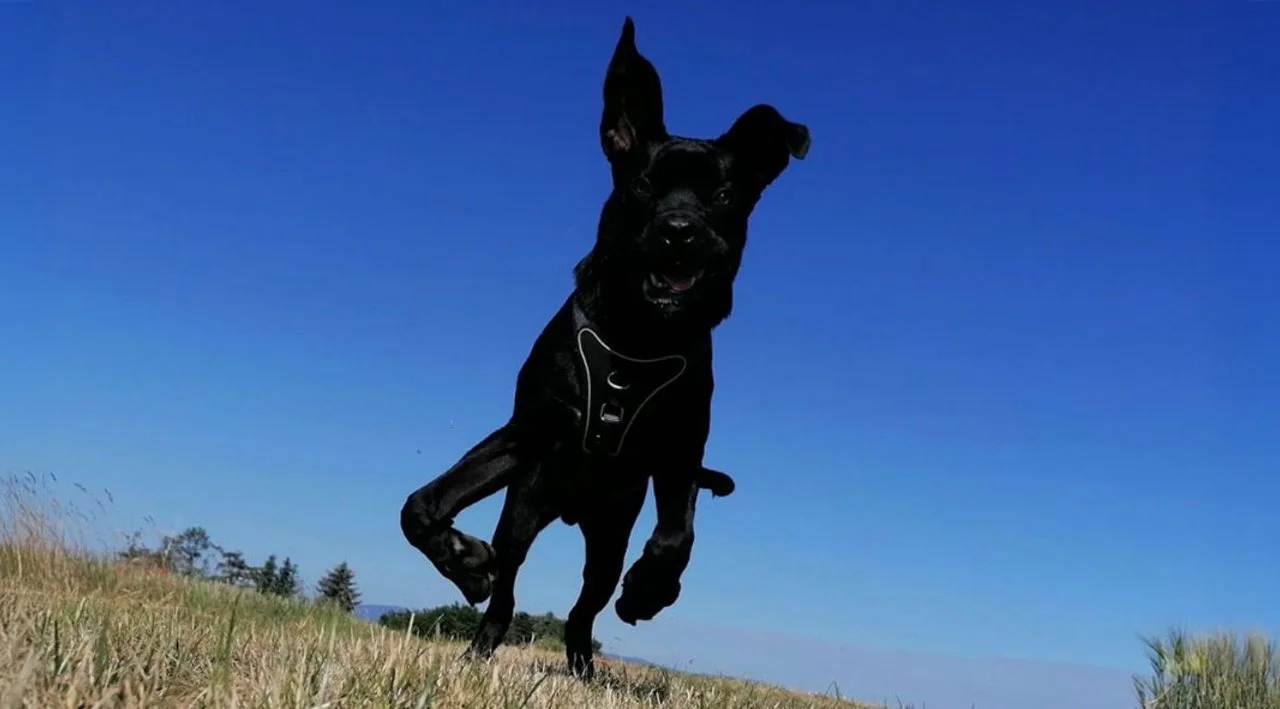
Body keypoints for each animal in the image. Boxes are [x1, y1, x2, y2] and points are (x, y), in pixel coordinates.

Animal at [399, 16, 803, 675]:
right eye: (642, 184)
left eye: (723, 196)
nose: (679, 232)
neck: (639, 332)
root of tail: (572, 513)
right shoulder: (530, 428)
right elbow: (421, 504)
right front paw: (463, 559)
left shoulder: (678, 451)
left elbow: (676, 537)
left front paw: (650, 590)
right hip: (524, 510)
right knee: (507, 593)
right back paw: (478, 648)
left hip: (610, 533)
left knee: (583, 609)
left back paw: (586, 668)